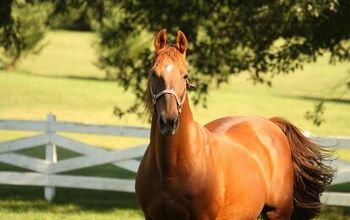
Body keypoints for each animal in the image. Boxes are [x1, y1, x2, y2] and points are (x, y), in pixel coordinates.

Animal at [135, 29, 334, 220]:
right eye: (153, 73)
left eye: (185, 76)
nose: (169, 121)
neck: (171, 167)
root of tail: (271, 123)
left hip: (278, 213)